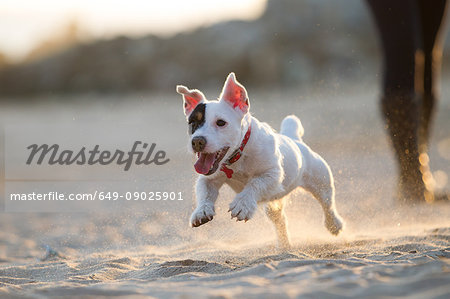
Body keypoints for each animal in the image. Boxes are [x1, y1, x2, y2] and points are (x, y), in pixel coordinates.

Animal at [176, 72, 344, 248]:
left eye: (221, 122)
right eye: (192, 122)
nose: (197, 141)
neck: (237, 157)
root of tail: (295, 140)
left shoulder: (272, 174)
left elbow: (254, 184)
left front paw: (242, 205)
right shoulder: (208, 179)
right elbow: (205, 193)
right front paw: (201, 211)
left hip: (321, 181)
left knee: (327, 204)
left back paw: (334, 225)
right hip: (274, 205)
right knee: (280, 220)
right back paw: (284, 245)